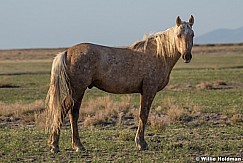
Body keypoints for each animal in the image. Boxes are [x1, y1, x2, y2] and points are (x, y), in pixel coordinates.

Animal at [45, 15, 194, 153]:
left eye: (192, 34)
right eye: (179, 35)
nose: (187, 56)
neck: (159, 55)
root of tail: (67, 52)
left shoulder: (145, 91)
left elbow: (143, 115)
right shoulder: (149, 90)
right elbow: (143, 115)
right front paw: (141, 143)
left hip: (78, 91)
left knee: (73, 114)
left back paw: (77, 145)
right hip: (77, 89)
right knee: (63, 110)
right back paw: (55, 145)